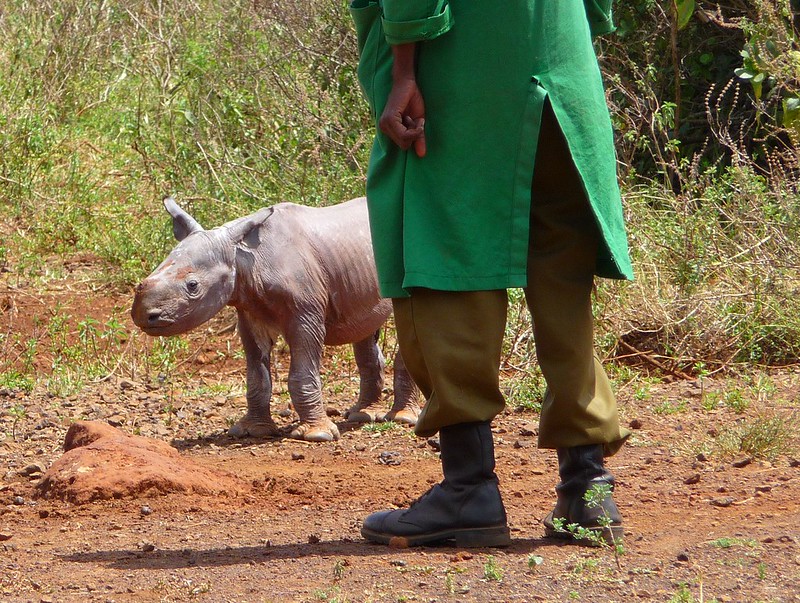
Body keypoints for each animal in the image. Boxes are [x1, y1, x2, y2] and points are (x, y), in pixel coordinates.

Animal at [130, 196, 420, 442]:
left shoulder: (306, 314)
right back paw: (362, 415)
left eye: (193, 286)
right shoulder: (250, 310)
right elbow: (256, 375)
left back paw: (404, 419)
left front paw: (317, 435)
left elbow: (302, 372)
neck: (243, 256)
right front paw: (253, 430)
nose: (144, 316)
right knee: (365, 329)